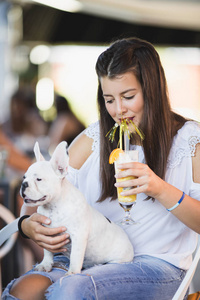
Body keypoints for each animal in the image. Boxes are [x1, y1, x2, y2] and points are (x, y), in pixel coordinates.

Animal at [20, 142, 134, 276]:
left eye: (38, 179)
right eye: (24, 177)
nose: (23, 184)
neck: (54, 206)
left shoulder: (78, 236)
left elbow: (75, 256)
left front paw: (72, 273)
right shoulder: (46, 234)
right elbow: (47, 251)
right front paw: (45, 264)